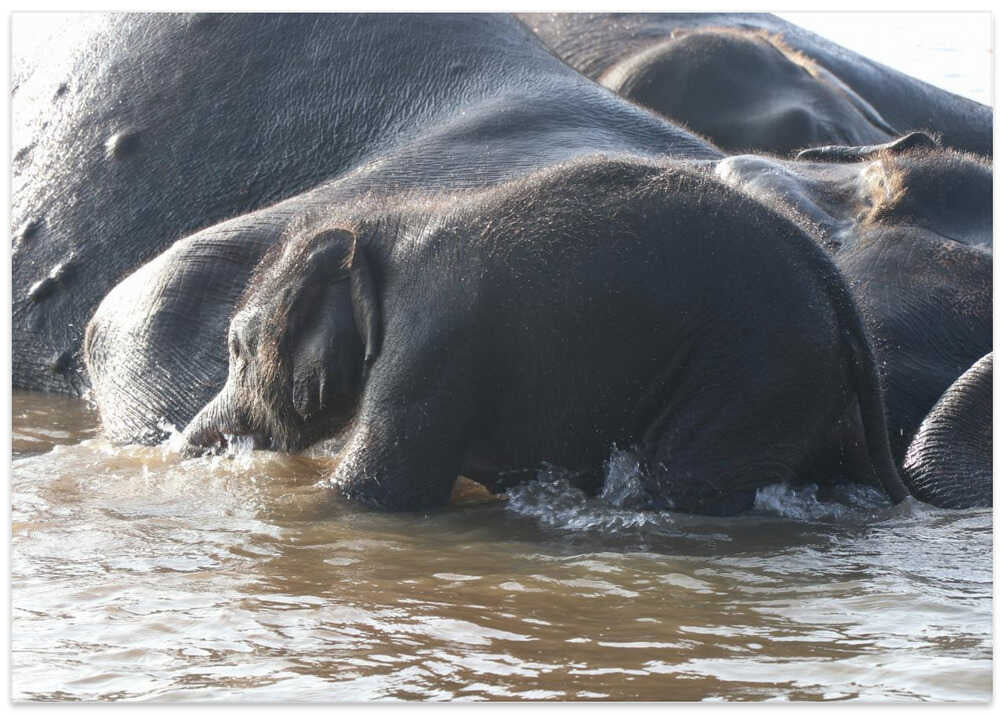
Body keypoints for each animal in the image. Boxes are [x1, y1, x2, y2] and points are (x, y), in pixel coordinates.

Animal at [178, 156, 910, 514]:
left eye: (236, 348)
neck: (379, 229)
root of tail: (833, 281)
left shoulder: (428, 352)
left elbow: (376, 494)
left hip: (753, 369)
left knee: (683, 480)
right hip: (808, 386)